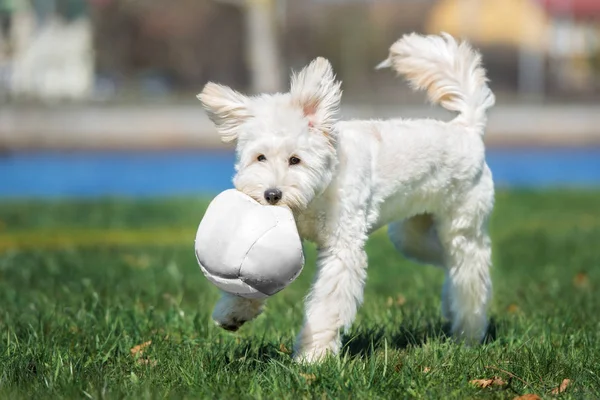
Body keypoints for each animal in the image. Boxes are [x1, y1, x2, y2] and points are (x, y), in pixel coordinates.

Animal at [199, 31, 494, 362]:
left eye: (295, 160)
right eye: (260, 157)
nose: (272, 194)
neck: (319, 190)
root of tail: (466, 128)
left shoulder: (342, 248)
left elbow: (326, 305)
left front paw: (312, 356)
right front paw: (233, 311)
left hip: (462, 226)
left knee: (471, 271)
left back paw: (469, 332)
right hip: (410, 234)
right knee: (444, 261)